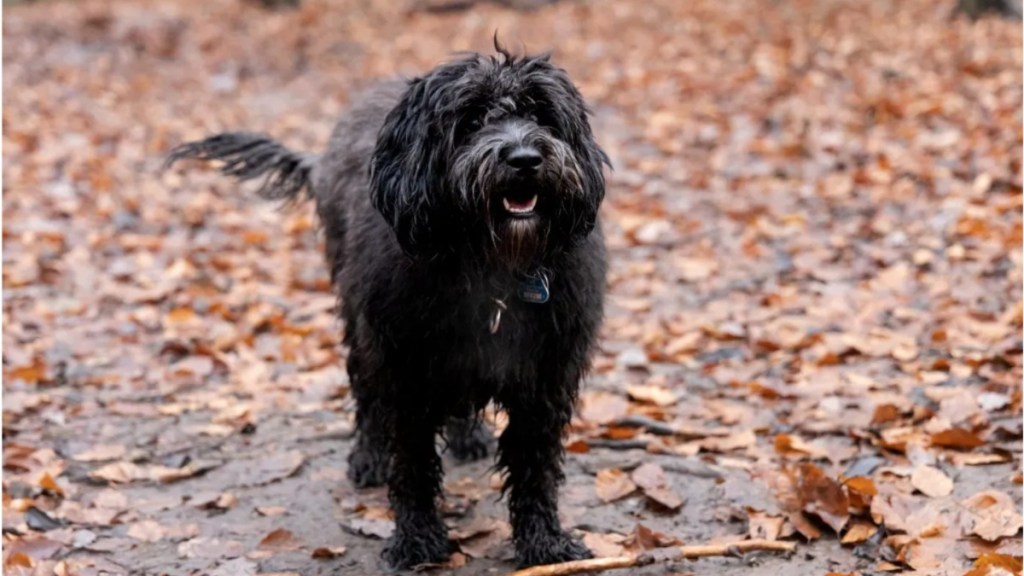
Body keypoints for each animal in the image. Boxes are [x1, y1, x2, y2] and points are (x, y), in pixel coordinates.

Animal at [167, 42, 606, 565]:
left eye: (540, 113)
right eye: (472, 119)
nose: (524, 158)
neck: (492, 267)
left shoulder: (547, 380)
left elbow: (536, 467)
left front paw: (545, 542)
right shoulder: (404, 370)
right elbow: (412, 463)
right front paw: (417, 540)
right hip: (359, 323)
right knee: (365, 394)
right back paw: (369, 457)